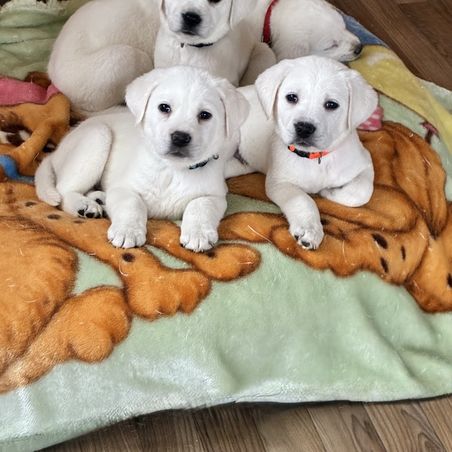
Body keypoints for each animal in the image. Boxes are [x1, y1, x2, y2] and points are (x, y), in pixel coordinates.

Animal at [35, 66, 249, 251]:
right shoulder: (124, 188)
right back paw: (84, 205)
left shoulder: (215, 196)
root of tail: (56, 152)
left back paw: (98, 199)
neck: (172, 170)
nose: (180, 138)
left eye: (205, 115)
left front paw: (199, 233)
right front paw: (127, 231)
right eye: (164, 107)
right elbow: (132, 205)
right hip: (98, 135)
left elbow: (200, 206)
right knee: (64, 190)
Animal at [227, 56, 378, 250]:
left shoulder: (365, 162)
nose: (304, 128)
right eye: (292, 97)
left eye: (331, 105)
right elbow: (303, 200)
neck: (315, 158)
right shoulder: (279, 183)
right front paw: (310, 229)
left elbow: (361, 192)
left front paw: (329, 193)